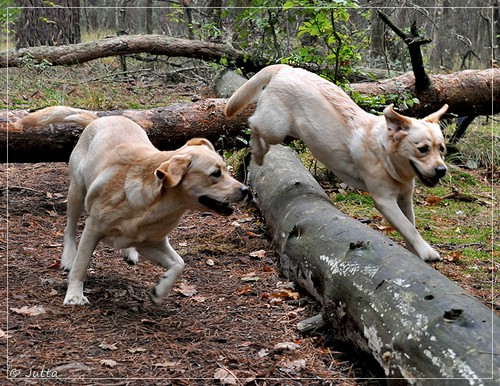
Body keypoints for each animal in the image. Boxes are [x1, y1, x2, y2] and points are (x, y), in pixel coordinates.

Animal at [225, 65, 448, 260]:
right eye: (422, 149)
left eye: (442, 149)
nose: (441, 170)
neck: (386, 155)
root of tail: (286, 68)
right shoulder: (385, 200)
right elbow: (408, 227)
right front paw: (427, 252)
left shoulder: (405, 198)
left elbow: (410, 225)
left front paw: (415, 251)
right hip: (275, 129)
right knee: (252, 123)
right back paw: (258, 151)